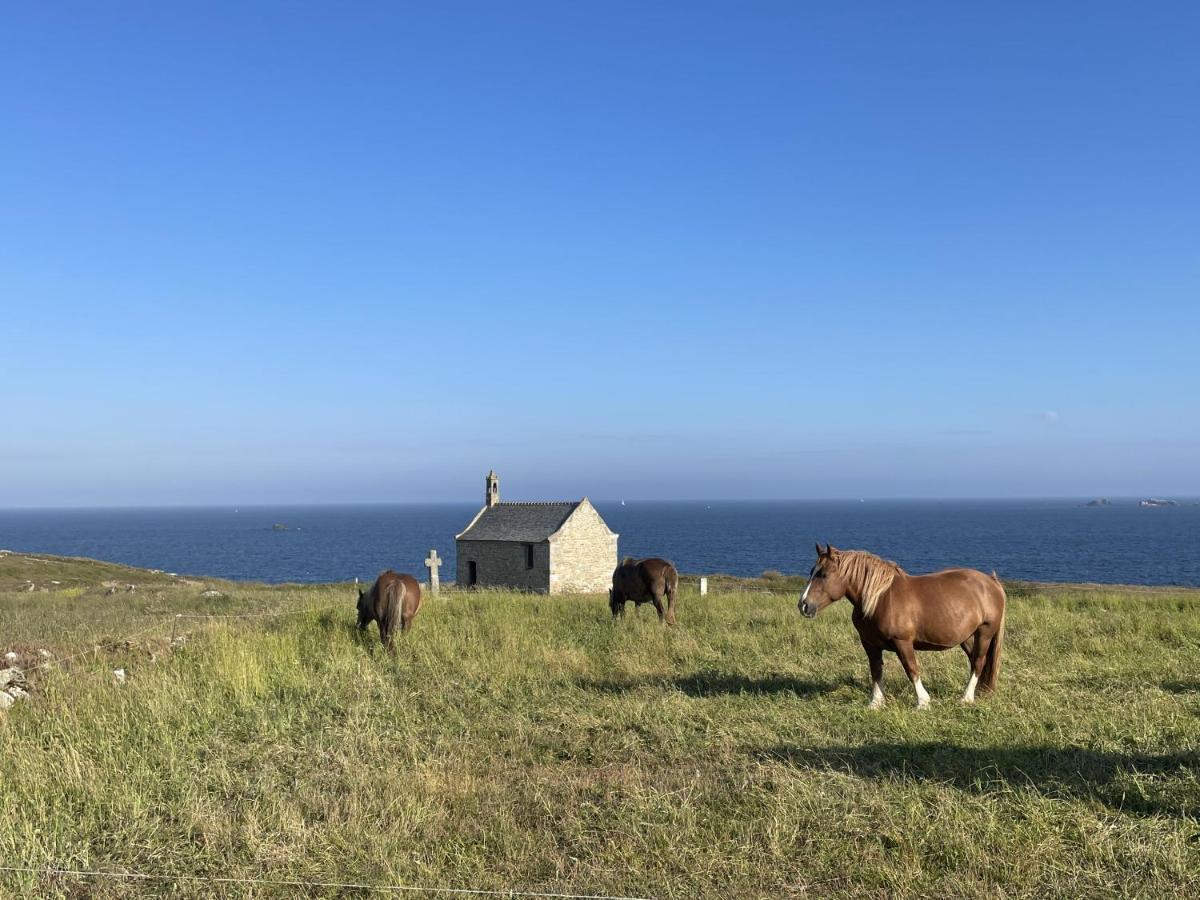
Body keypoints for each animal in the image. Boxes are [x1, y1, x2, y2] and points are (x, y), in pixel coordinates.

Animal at [801, 542, 1008, 710]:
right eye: (811, 571)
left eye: (823, 574)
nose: (803, 605)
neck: (880, 598)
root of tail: (991, 582)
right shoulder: (869, 644)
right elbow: (876, 670)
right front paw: (876, 703)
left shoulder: (902, 642)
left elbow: (911, 669)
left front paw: (923, 702)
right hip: (966, 636)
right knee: (974, 660)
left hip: (984, 632)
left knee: (978, 661)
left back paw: (966, 698)